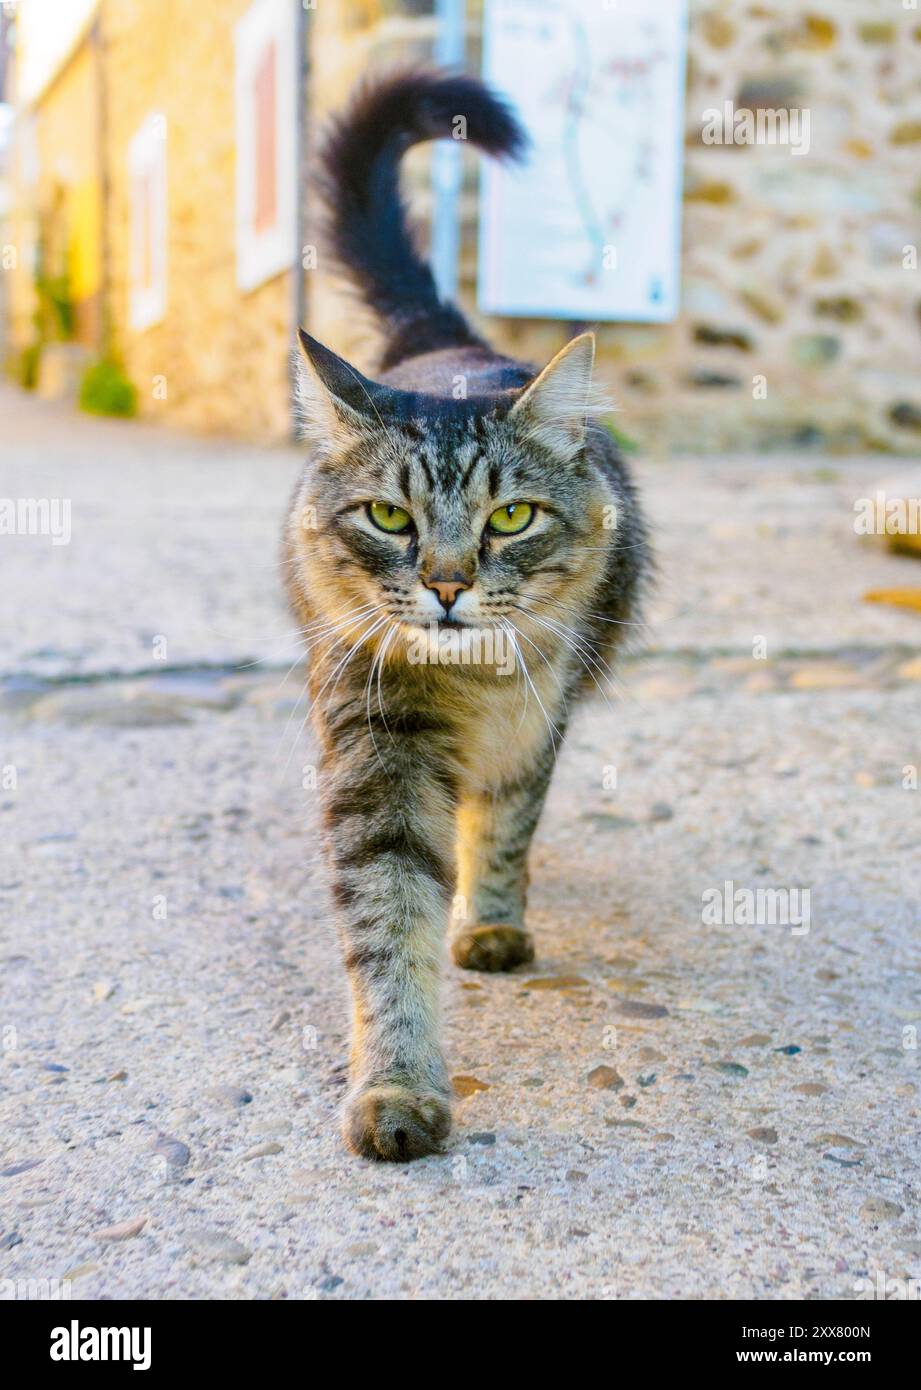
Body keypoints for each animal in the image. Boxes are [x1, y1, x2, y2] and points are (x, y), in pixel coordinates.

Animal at [284, 76, 652, 1162]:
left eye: (511, 518)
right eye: (390, 518)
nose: (446, 586)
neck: (471, 685)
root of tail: (444, 342)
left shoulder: (536, 724)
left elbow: (505, 830)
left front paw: (486, 921)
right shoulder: (376, 748)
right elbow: (387, 929)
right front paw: (397, 1088)